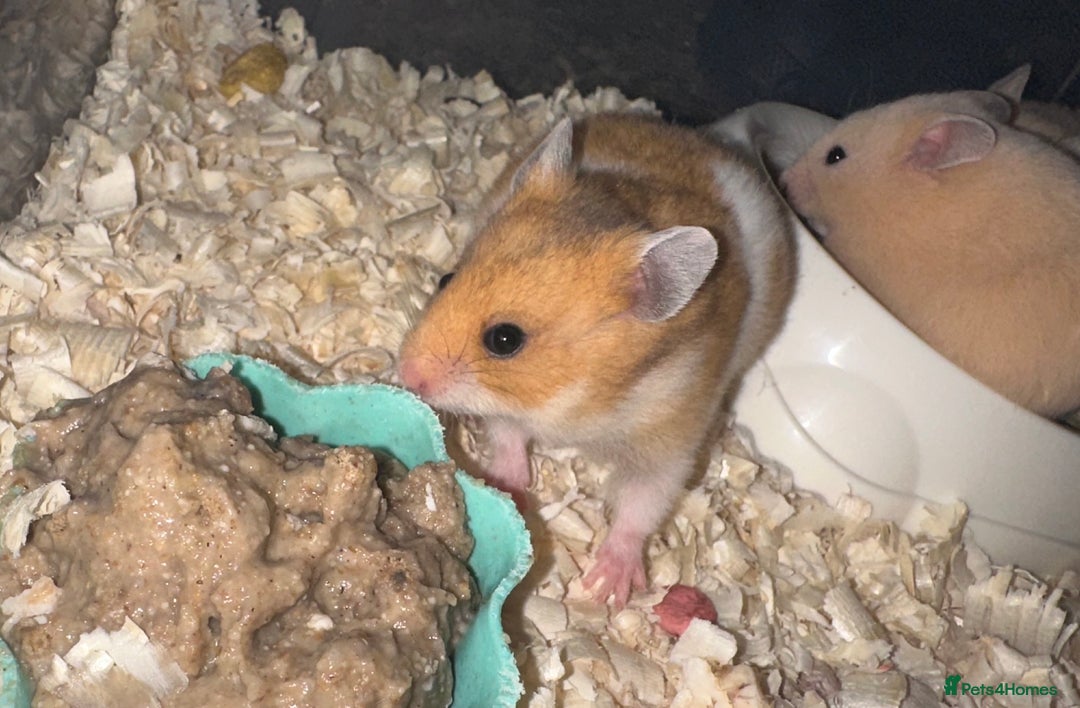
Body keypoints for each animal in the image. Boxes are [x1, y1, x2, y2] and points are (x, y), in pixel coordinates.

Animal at [398, 113, 795, 605]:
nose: (404, 374)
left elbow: (642, 505)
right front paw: (510, 491)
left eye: (505, 339)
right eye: (445, 279)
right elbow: (508, 437)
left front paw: (606, 588)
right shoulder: (510, 408)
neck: (577, 398)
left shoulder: (669, 438)